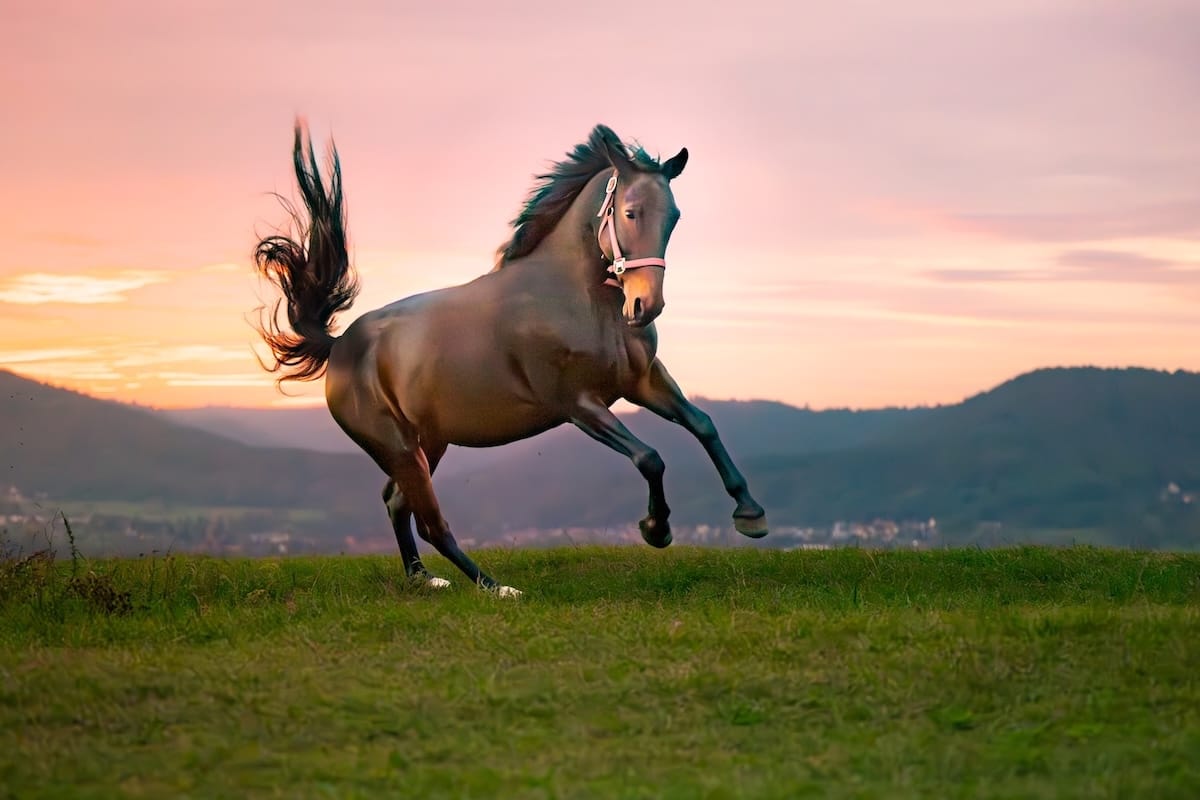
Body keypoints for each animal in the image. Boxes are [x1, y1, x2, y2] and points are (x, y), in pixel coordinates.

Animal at [254, 122, 768, 596]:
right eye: (630, 212)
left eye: (674, 217)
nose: (645, 305)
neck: (578, 299)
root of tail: (339, 345)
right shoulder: (578, 403)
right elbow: (650, 458)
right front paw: (655, 529)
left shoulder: (642, 381)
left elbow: (702, 424)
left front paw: (751, 514)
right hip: (396, 445)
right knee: (430, 521)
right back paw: (495, 587)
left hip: (428, 442)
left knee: (398, 503)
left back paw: (425, 580)